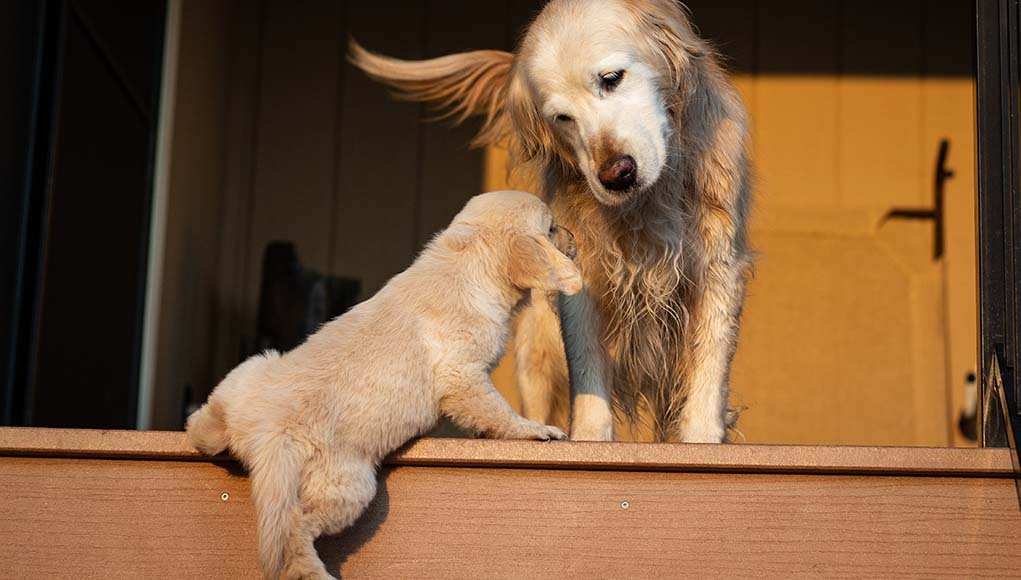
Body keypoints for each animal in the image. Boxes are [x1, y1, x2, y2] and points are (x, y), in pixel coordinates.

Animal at [186, 190, 579, 580]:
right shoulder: (462, 373)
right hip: (348, 487)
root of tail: (268, 432)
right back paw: (313, 573)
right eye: (551, 228)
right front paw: (534, 429)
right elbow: (497, 410)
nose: (574, 238)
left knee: (205, 422)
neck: (468, 262)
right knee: (295, 532)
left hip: (254, 367)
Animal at [351, 0, 751, 441]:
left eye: (611, 79)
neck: (647, 206)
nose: (616, 175)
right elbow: (588, 370)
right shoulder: (580, 278)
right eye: (562, 117)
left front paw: (703, 441)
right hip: (536, 353)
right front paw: (590, 439)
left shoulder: (718, 266)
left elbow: (708, 372)